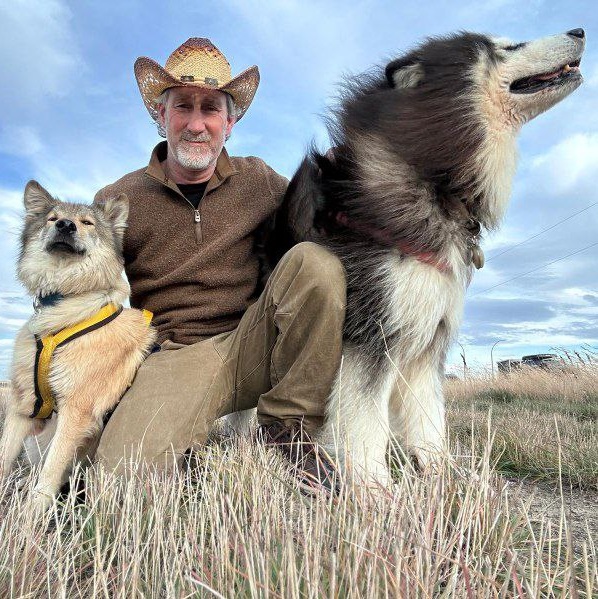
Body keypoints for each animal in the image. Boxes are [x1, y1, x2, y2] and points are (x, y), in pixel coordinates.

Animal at [0, 182, 157, 506]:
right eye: (52, 218)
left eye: (87, 223)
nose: (65, 225)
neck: (65, 299)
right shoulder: (22, 407)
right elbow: (3, 462)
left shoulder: (76, 412)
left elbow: (47, 479)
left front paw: (31, 518)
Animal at [270, 30, 584, 486]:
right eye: (506, 47)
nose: (580, 31)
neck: (434, 178)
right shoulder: (369, 335)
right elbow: (365, 422)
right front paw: (373, 486)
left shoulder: (428, 337)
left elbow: (429, 419)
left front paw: (445, 475)